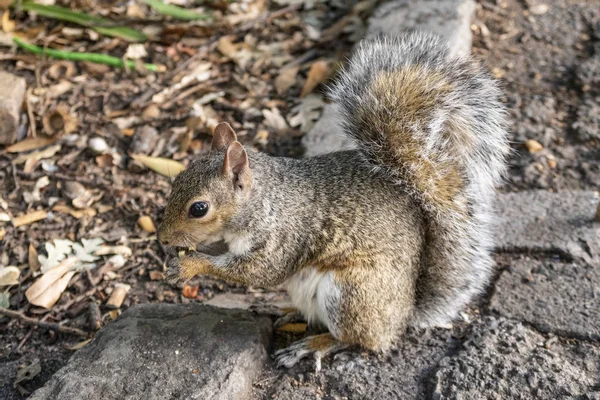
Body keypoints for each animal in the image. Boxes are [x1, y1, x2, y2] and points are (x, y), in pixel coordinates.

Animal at [157, 31, 508, 368]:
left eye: (199, 208)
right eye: (177, 178)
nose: (162, 238)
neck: (264, 201)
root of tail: (403, 316)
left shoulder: (283, 237)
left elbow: (260, 272)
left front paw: (190, 265)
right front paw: (183, 256)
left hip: (352, 293)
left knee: (358, 339)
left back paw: (313, 345)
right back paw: (284, 311)